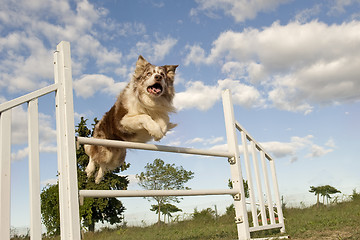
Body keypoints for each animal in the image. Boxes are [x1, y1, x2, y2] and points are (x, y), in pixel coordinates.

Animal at [86, 55, 179, 184]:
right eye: (149, 74)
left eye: (162, 75)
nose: (158, 77)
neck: (149, 101)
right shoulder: (122, 121)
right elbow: (143, 116)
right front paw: (155, 131)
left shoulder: (160, 113)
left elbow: (164, 122)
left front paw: (158, 133)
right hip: (102, 145)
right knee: (92, 153)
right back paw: (89, 170)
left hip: (117, 157)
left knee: (103, 163)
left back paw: (98, 178)